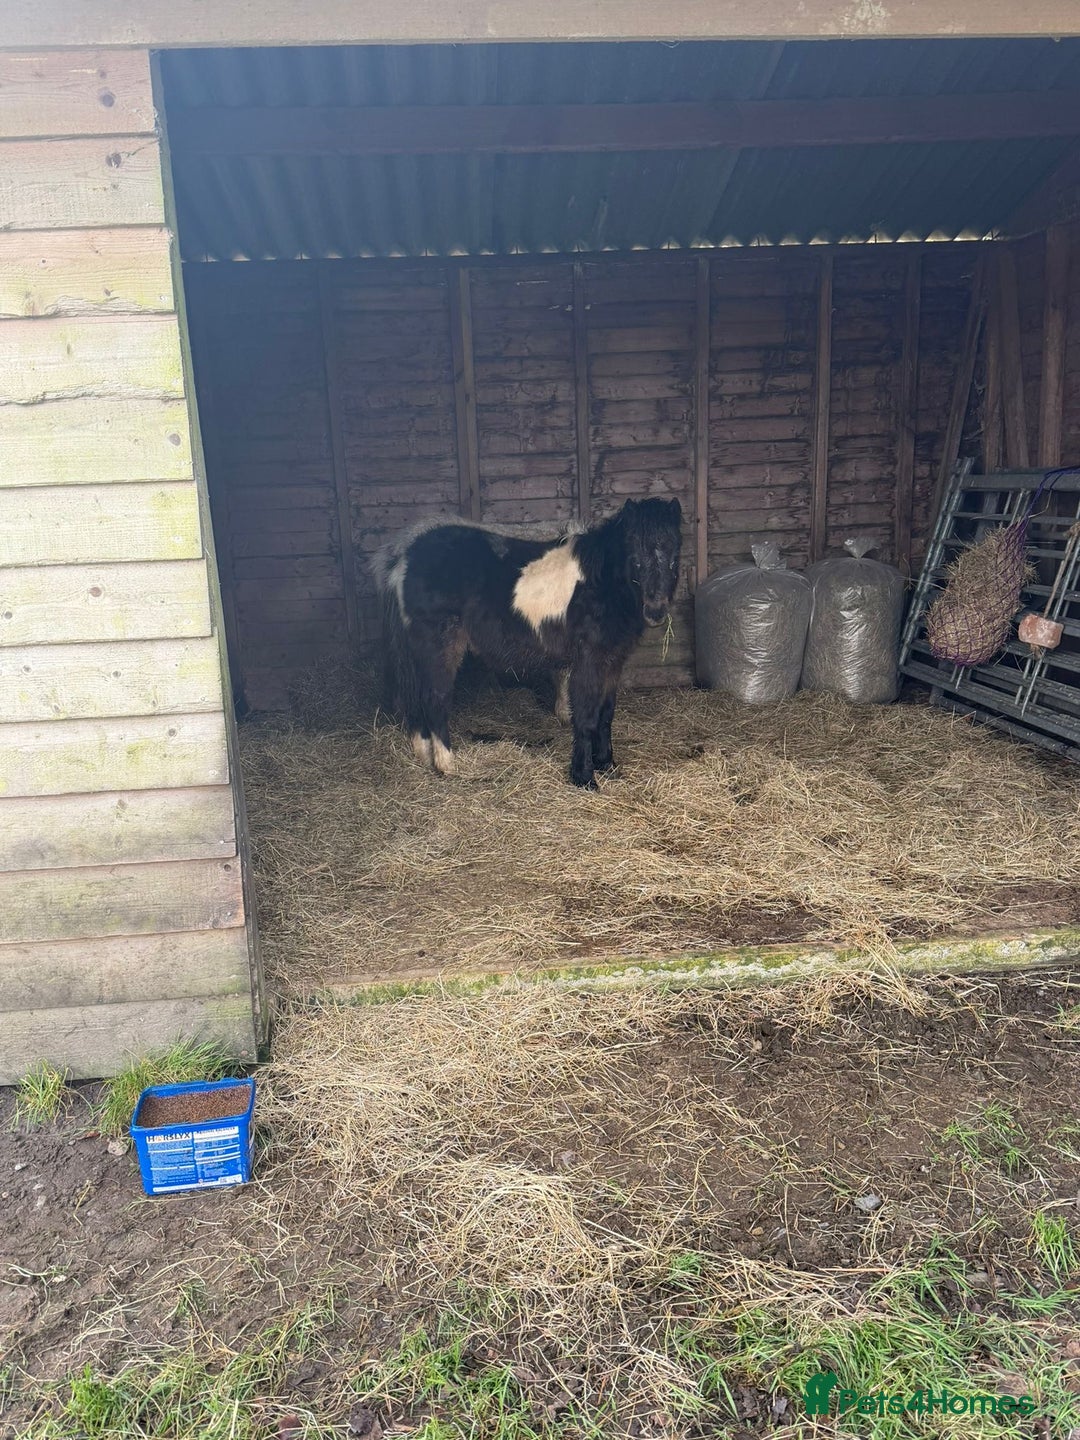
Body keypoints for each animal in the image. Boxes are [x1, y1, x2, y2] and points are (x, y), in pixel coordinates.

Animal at [375, 497, 682, 788]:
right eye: (635, 556)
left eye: (674, 556)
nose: (655, 611)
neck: (599, 582)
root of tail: (403, 558)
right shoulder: (588, 662)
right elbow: (586, 717)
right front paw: (584, 777)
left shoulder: (612, 663)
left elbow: (606, 715)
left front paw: (607, 765)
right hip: (439, 647)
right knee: (434, 699)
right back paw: (448, 765)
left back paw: (424, 756)